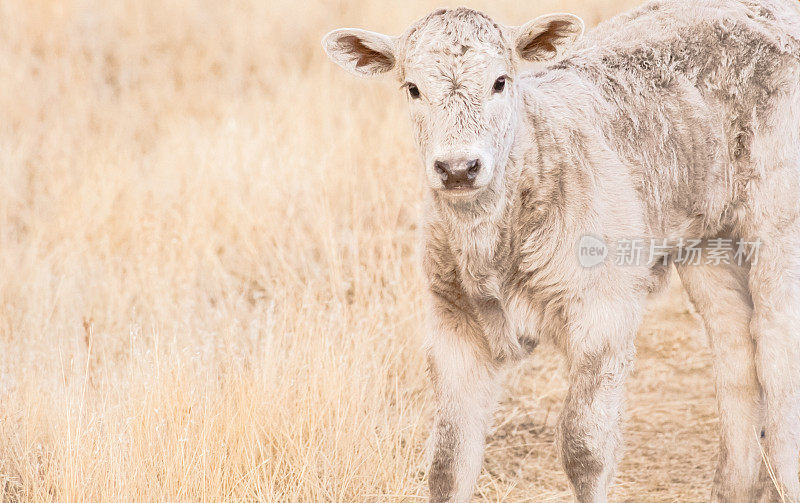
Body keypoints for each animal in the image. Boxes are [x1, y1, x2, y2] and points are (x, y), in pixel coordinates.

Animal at [322, 1, 800, 502]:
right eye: (412, 88)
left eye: (501, 81)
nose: (457, 168)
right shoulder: (453, 321)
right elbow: (448, 462)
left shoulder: (603, 310)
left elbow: (584, 448)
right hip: (706, 239)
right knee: (735, 346)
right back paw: (733, 486)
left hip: (778, 219)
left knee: (778, 346)